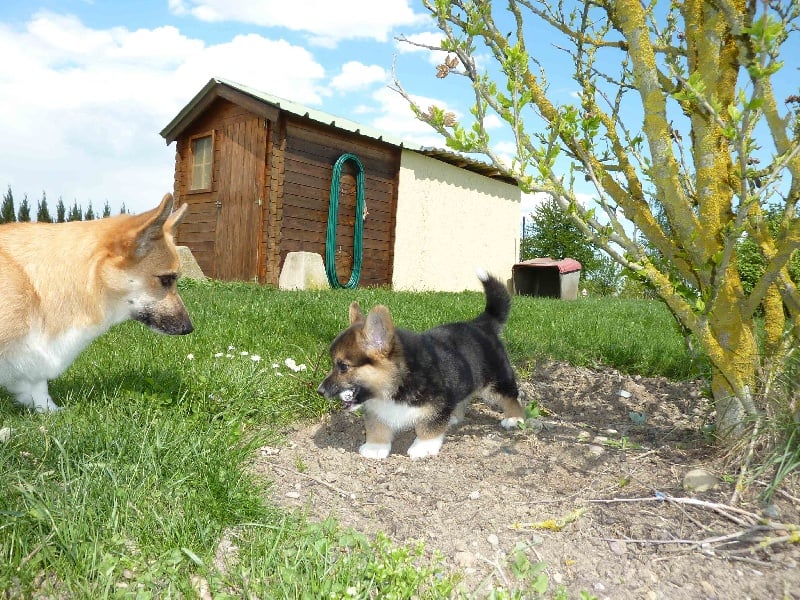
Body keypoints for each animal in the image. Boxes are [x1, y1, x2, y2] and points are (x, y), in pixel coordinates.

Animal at [318, 272, 524, 460]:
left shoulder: (437, 404)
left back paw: (514, 418)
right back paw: (454, 417)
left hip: (497, 379)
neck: (396, 384)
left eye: (343, 366)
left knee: (510, 397)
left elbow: (428, 426)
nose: (320, 391)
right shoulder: (376, 410)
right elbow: (377, 426)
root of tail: (482, 324)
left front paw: (422, 447)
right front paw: (375, 447)